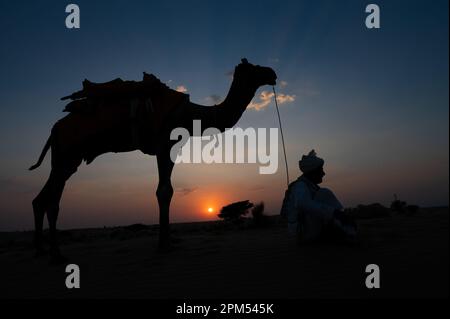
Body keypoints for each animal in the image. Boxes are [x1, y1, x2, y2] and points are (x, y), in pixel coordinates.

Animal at [29, 58, 276, 264]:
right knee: (52, 201)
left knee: (42, 198)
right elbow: (164, 191)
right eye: (254, 67)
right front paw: (164, 245)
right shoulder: (163, 142)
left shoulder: (172, 147)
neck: (190, 114)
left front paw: (167, 242)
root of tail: (54, 130)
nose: (272, 72)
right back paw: (56, 255)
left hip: (67, 160)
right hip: (66, 154)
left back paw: (41, 251)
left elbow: (167, 189)